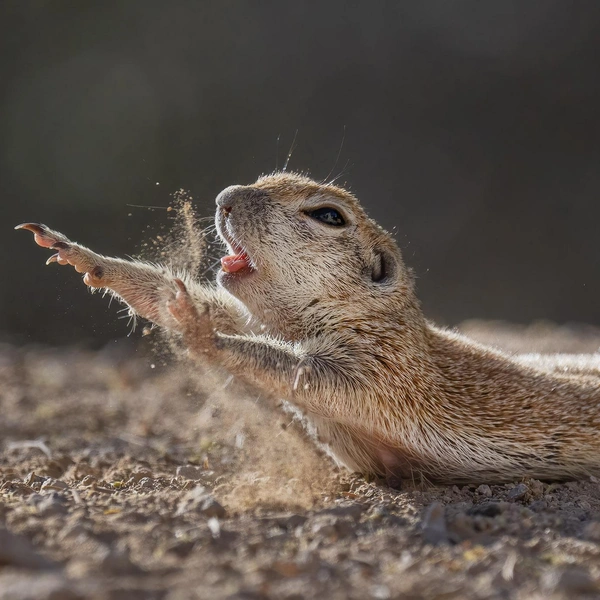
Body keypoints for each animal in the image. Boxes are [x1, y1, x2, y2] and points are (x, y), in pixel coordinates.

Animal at [16, 171, 600, 486]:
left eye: (329, 215)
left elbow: (304, 376)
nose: (224, 197)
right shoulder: (252, 315)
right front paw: (82, 256)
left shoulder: (382, 369)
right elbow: (192, 302)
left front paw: (200, 334)